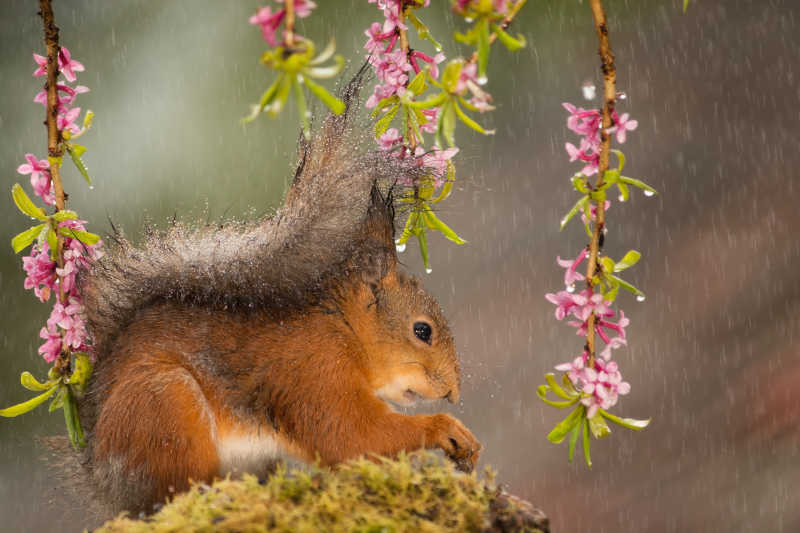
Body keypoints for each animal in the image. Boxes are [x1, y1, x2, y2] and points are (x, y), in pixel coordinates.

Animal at [70, 74, 482, 512]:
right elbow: (351, 436)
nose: (453, 392)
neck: (344, 327)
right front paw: (446, 429)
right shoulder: (313, 370)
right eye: (423, 331)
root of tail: (105, 480)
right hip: (164, 405)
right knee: (173, 490)